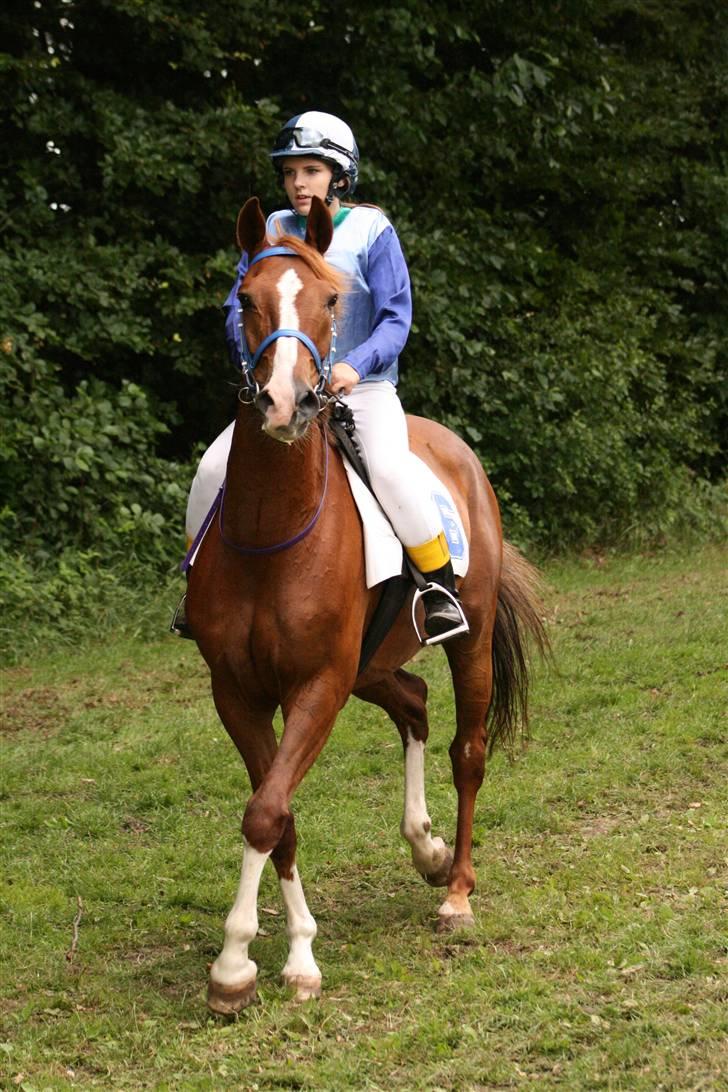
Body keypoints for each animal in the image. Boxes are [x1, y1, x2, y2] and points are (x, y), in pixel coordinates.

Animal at [187, 194, 545, 1013]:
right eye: (244, 300)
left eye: (330, 300)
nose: (287, 404)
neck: (272, 535)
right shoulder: (239, 692)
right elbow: (277, 814)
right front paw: (269, 958)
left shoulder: (317, 685)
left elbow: (266, 810)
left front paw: (246, 963)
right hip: (371, 666)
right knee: (413, 702)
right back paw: (426, 848)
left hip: (467, 643)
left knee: (467, 751)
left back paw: (456, 889)